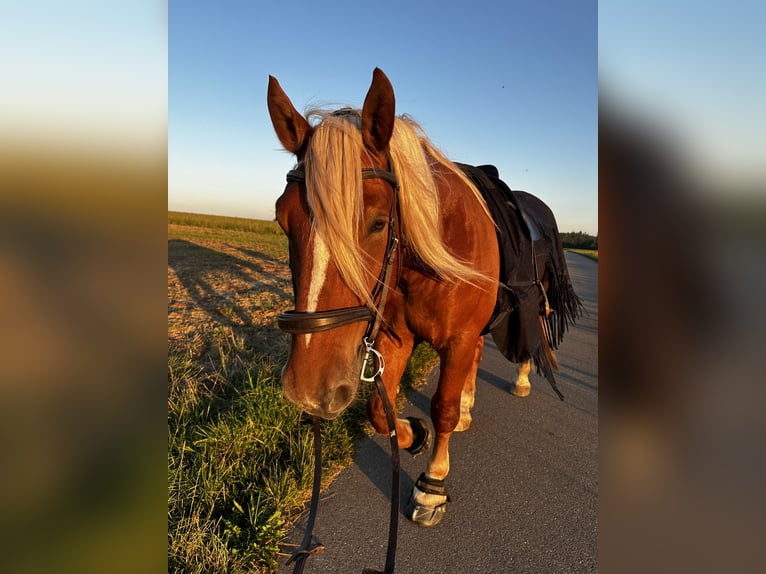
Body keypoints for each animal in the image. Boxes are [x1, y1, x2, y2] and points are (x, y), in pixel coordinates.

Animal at [270, 68, 560, 532]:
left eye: (378, 222)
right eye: (282, 219)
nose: (309, 388)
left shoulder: (457, 339)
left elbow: (441, 408)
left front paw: (432, 484)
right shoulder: (397, 338)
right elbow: (378, 409)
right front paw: (415, 433)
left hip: (532, 306)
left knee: (530, 344)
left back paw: (520, 380)